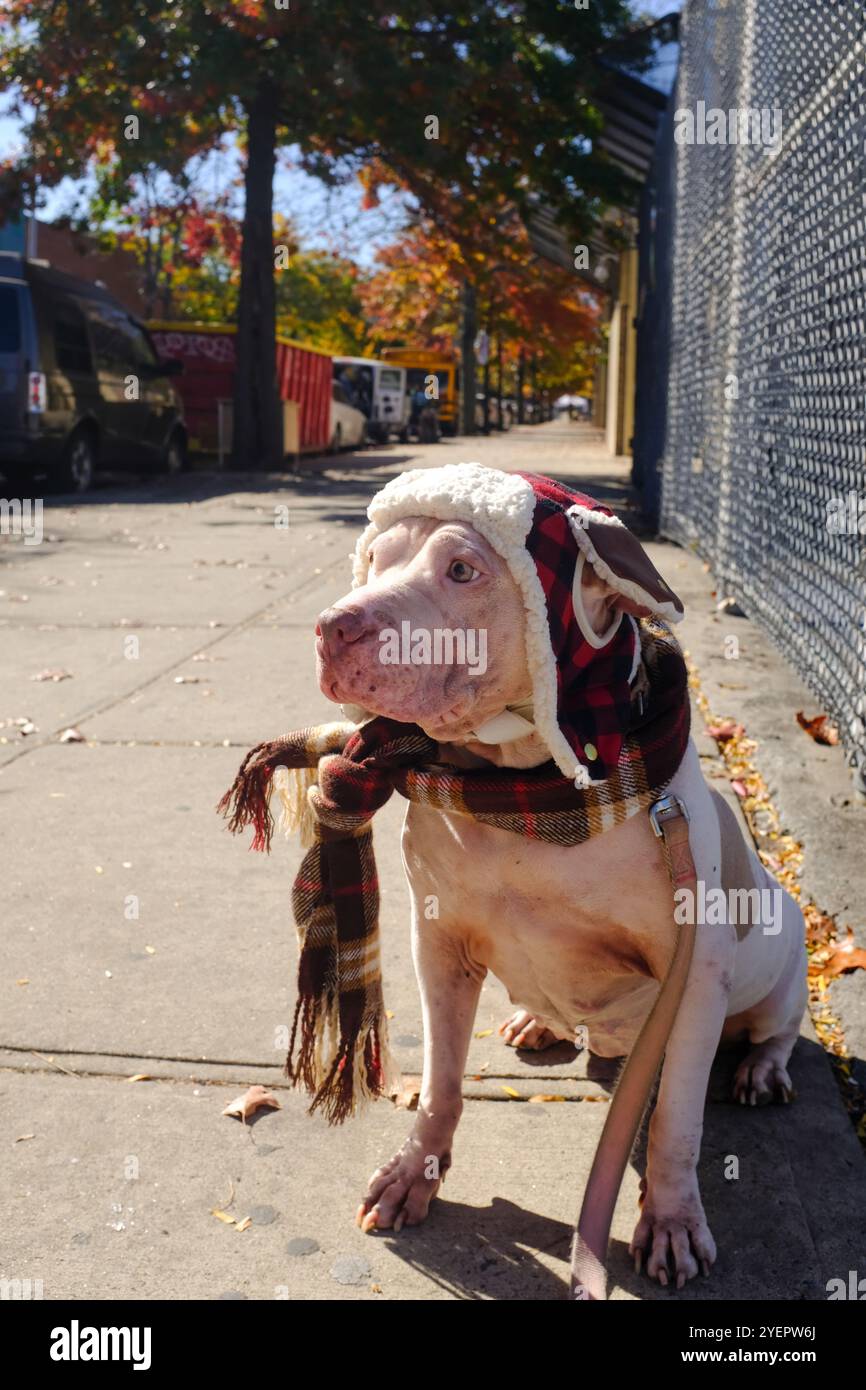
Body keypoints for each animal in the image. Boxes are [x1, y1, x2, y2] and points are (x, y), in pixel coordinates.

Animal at [309, 464, 806, 1289]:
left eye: (463, 569)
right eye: (375, 560)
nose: (333, 627)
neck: (526, 788)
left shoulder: (697, 974)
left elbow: (675, 1120)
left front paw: (671, 1220)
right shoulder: (438, 945)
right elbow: (441, 1084)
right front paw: (416, 1172)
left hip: (782, 946)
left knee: (777, 1029)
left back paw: (762, 1070)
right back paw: (536, 1020)